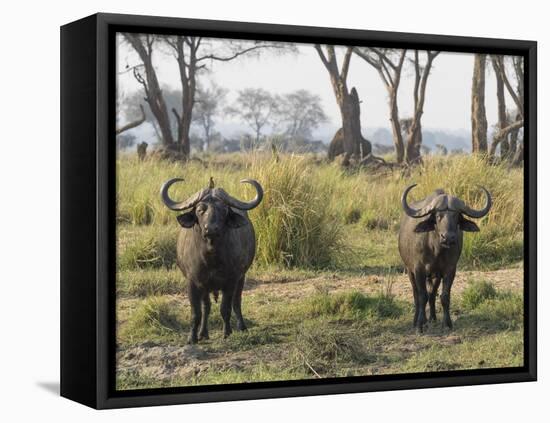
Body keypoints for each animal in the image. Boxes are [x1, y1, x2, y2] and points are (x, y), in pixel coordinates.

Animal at [161, 177, 264, 342]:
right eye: (200, 210)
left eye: (223, 210)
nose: (211, 229)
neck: (211, 257)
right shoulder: (193, 283)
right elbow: (197, 312)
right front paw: (193, 337)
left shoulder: (231, 281)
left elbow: (225, 308)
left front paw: (227, 332)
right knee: (207, 307)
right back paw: (203, 333)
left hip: (241, 278)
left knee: (237, 302)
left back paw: (242, 327)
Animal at [398, 184, 494, 332]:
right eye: (438, 216)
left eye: (456, 216)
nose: (448, 237)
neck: (436, 249)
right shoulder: (418, 270)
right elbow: (421, 296)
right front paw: (419, 324)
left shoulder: (449, 270)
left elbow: (444, 296)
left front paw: (447, 323)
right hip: (409, 271)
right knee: (416, 294)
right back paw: (418, 320)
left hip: (435, 276)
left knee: (432, 294)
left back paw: (432, 318)